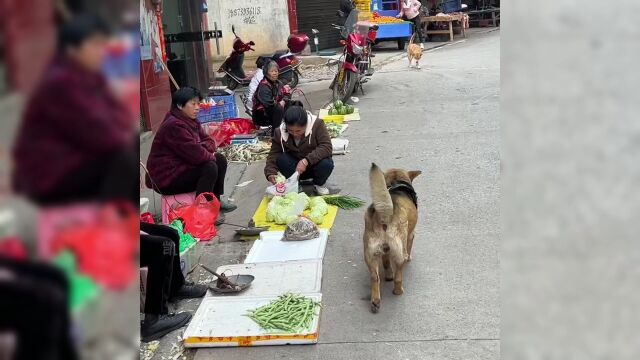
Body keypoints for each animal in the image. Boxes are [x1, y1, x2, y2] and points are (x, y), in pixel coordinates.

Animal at [364, 163, 420, 312]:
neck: (396, 184)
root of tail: (385, 215)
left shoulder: (384, 249)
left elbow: (386, 262)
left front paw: (388, 275)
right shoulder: (411, 235)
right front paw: (409, 258)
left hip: (370, 254)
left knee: (374, 277)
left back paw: (375, 301)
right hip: (399, 253)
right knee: (398, 277)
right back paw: (398, 291)